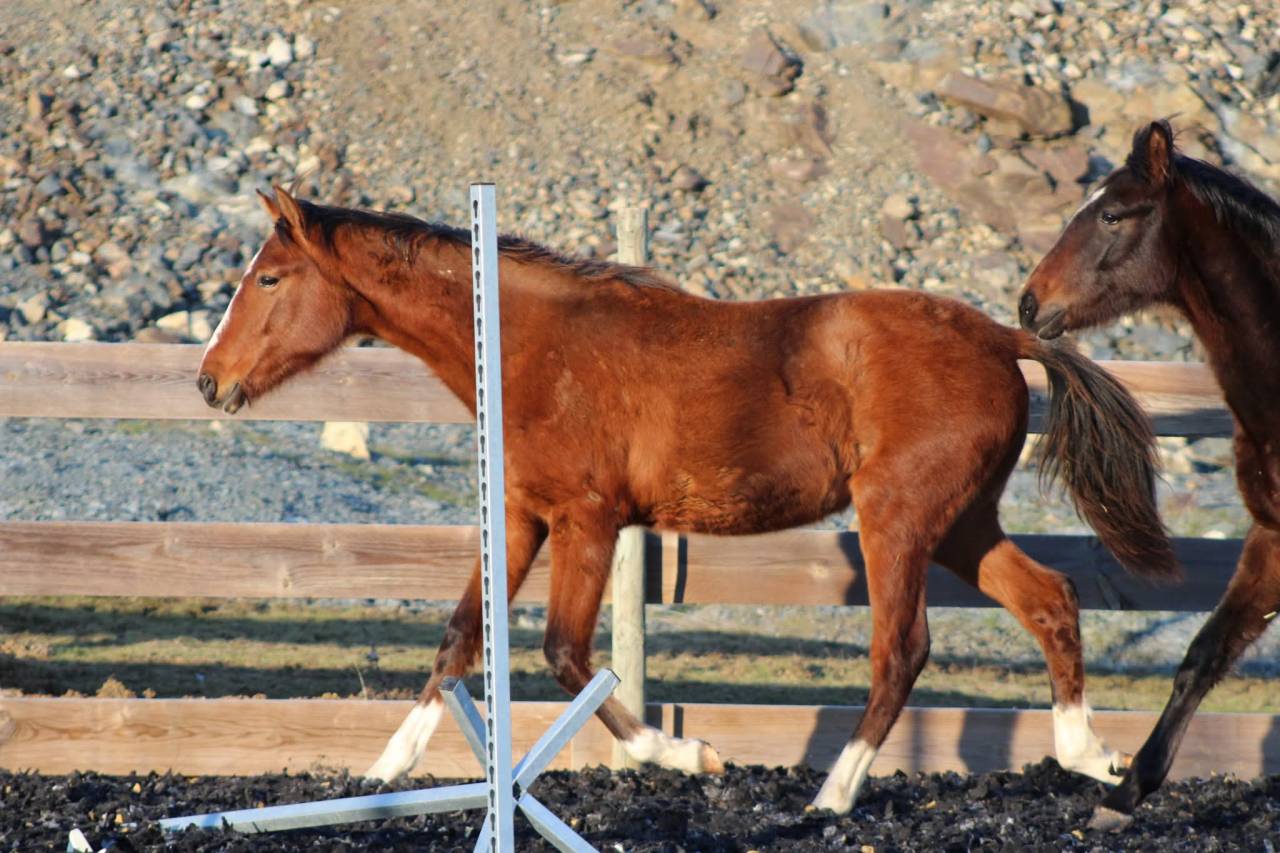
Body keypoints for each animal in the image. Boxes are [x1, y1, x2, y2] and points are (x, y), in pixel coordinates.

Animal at [198, 185, 1178, 813]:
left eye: (270, 279)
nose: (210, 381)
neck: (527, 346)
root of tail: (1001, 334)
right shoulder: (518, 518)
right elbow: (456, 641)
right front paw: (379, 775)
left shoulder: (588, 519)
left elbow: (567, 654)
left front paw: (690, 755)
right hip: (962, 523)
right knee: (1051, 598)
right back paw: (1091, 756)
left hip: (898, 518)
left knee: (903, 649)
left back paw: (831, 797)